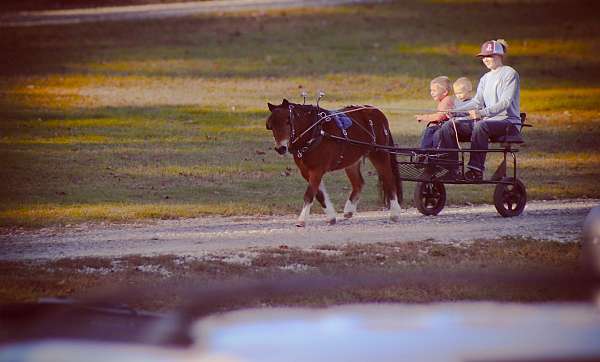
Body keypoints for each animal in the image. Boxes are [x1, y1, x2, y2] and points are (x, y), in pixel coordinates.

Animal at [264, 97, 400, 225]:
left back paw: (395, 213)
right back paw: (349, 210)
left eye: (288, 121)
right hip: (351, 161)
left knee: (389, 179)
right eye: (270, 126)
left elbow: (309, 194)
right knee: (358, 183)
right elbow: (319, 195)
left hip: (379, 154)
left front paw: (301, 220)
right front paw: (331, 217)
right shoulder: (305, 171)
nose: (280, 148)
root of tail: (377, 111)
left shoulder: (317, 170)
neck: (316, 132)